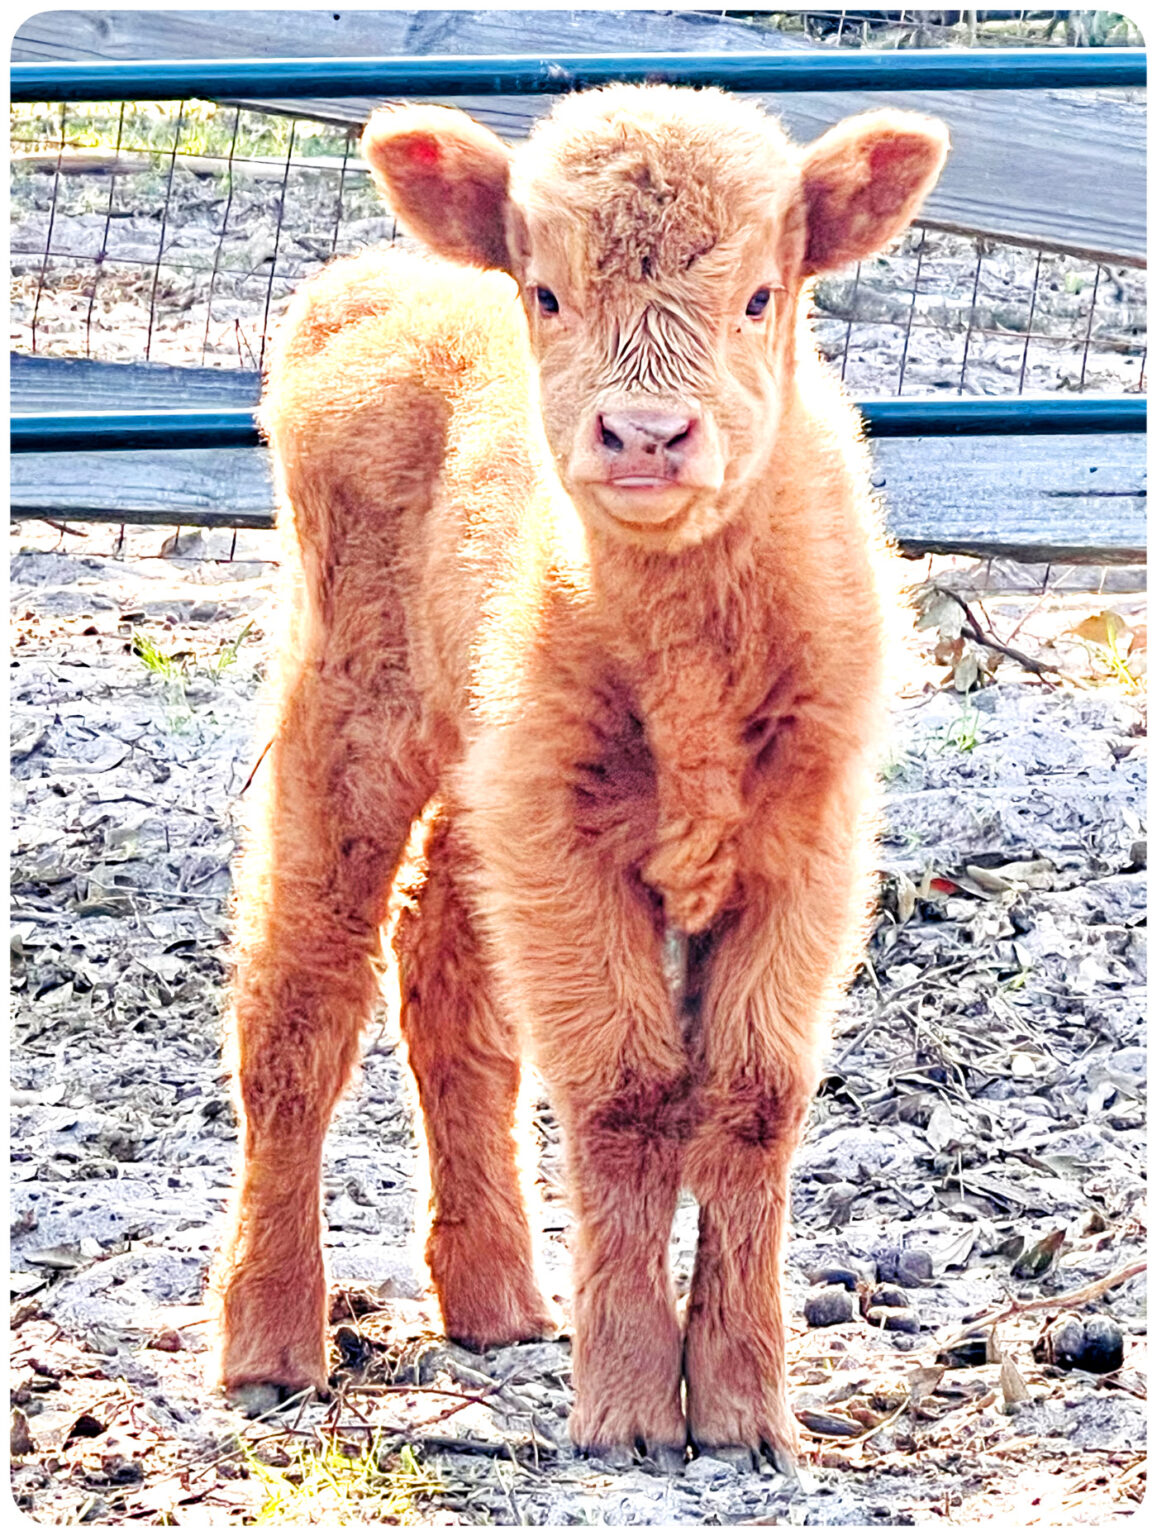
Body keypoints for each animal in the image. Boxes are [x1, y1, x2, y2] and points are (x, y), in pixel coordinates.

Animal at [212, 81, 940, 1462]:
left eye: (759, 295)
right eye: (547, 291)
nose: (645, 436)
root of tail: (381, 282)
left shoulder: (805, 851)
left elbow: (749, 1101)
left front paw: (745, 1408)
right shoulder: (564, 850)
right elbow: (624, 1095)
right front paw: (628, 1406)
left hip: (477, 775)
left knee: (447, 987)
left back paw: (497, 1302)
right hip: (346, 720)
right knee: (302, 992)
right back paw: (269, 1343)